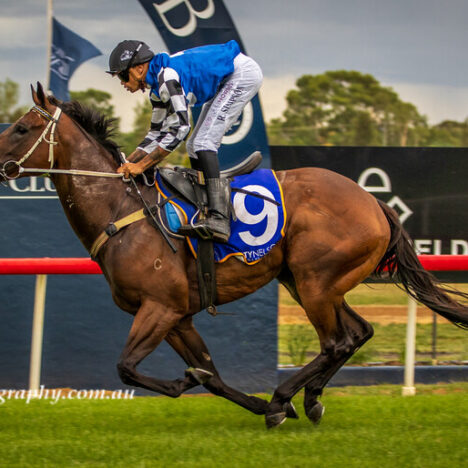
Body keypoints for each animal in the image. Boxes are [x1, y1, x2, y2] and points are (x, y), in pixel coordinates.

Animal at [0, 84, 468, 428]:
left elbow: (127, 368)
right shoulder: (177, 317)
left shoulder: (158, 307)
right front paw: (250, 401)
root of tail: (374, 202)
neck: (122, 210)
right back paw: (309, 399)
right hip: (308, 282)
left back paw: (286, 395)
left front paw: (206, 388)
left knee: (336, 341)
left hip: (316, 281)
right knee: (357, 333)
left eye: (21, 128)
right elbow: (213, 378)